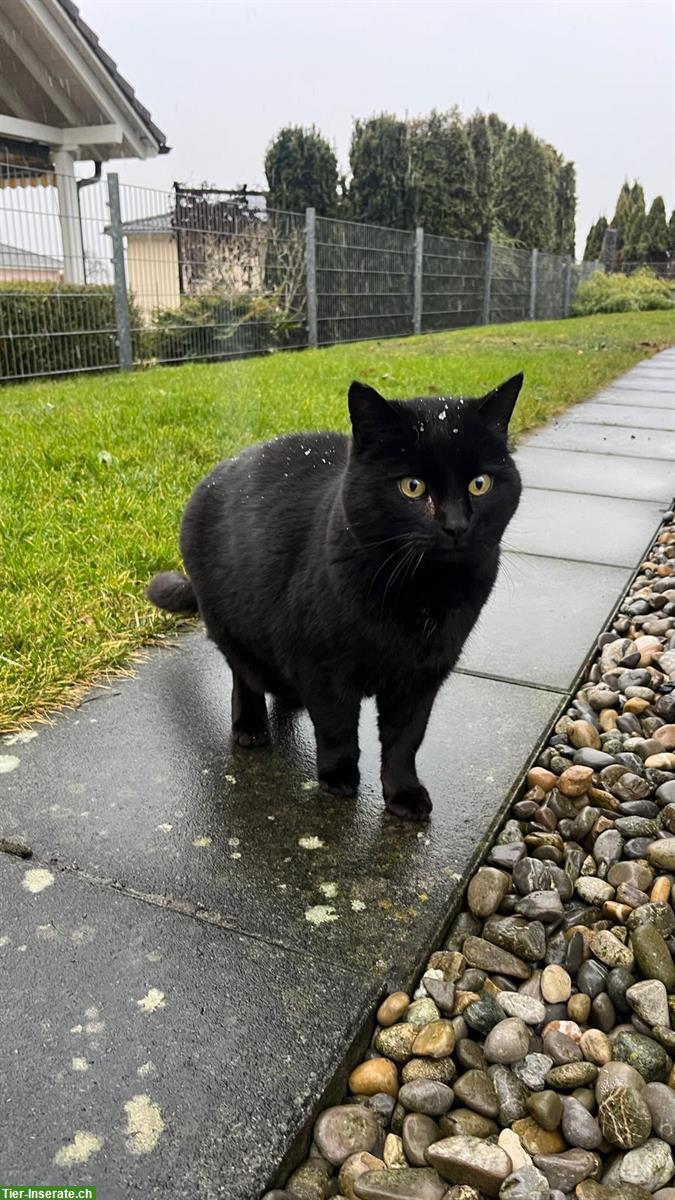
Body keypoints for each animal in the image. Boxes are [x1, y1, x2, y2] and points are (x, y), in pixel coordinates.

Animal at [147, 379, 521, 820]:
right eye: (412, 487)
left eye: (480, 484)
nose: (457, 526)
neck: (422, 595)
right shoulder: (323, 668)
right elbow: (337, 727)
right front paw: (338, 777)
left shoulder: (422, 677)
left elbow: (405, 740)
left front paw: (403, 794)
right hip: (232, 623)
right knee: (245, 676)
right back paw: (250, 726)